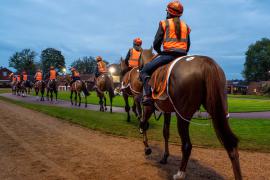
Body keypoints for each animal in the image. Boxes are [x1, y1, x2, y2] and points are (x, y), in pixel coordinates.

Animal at [140, 49, 242, 180]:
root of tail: (206, 63)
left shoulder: (148, 107)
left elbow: (143, 124)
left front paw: (147, 148)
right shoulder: (167, 111)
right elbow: (165, 133)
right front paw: (164, 157)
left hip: (183, 116)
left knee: (187, 145)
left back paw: (180, 173)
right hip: (220, 110)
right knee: (231, 144)